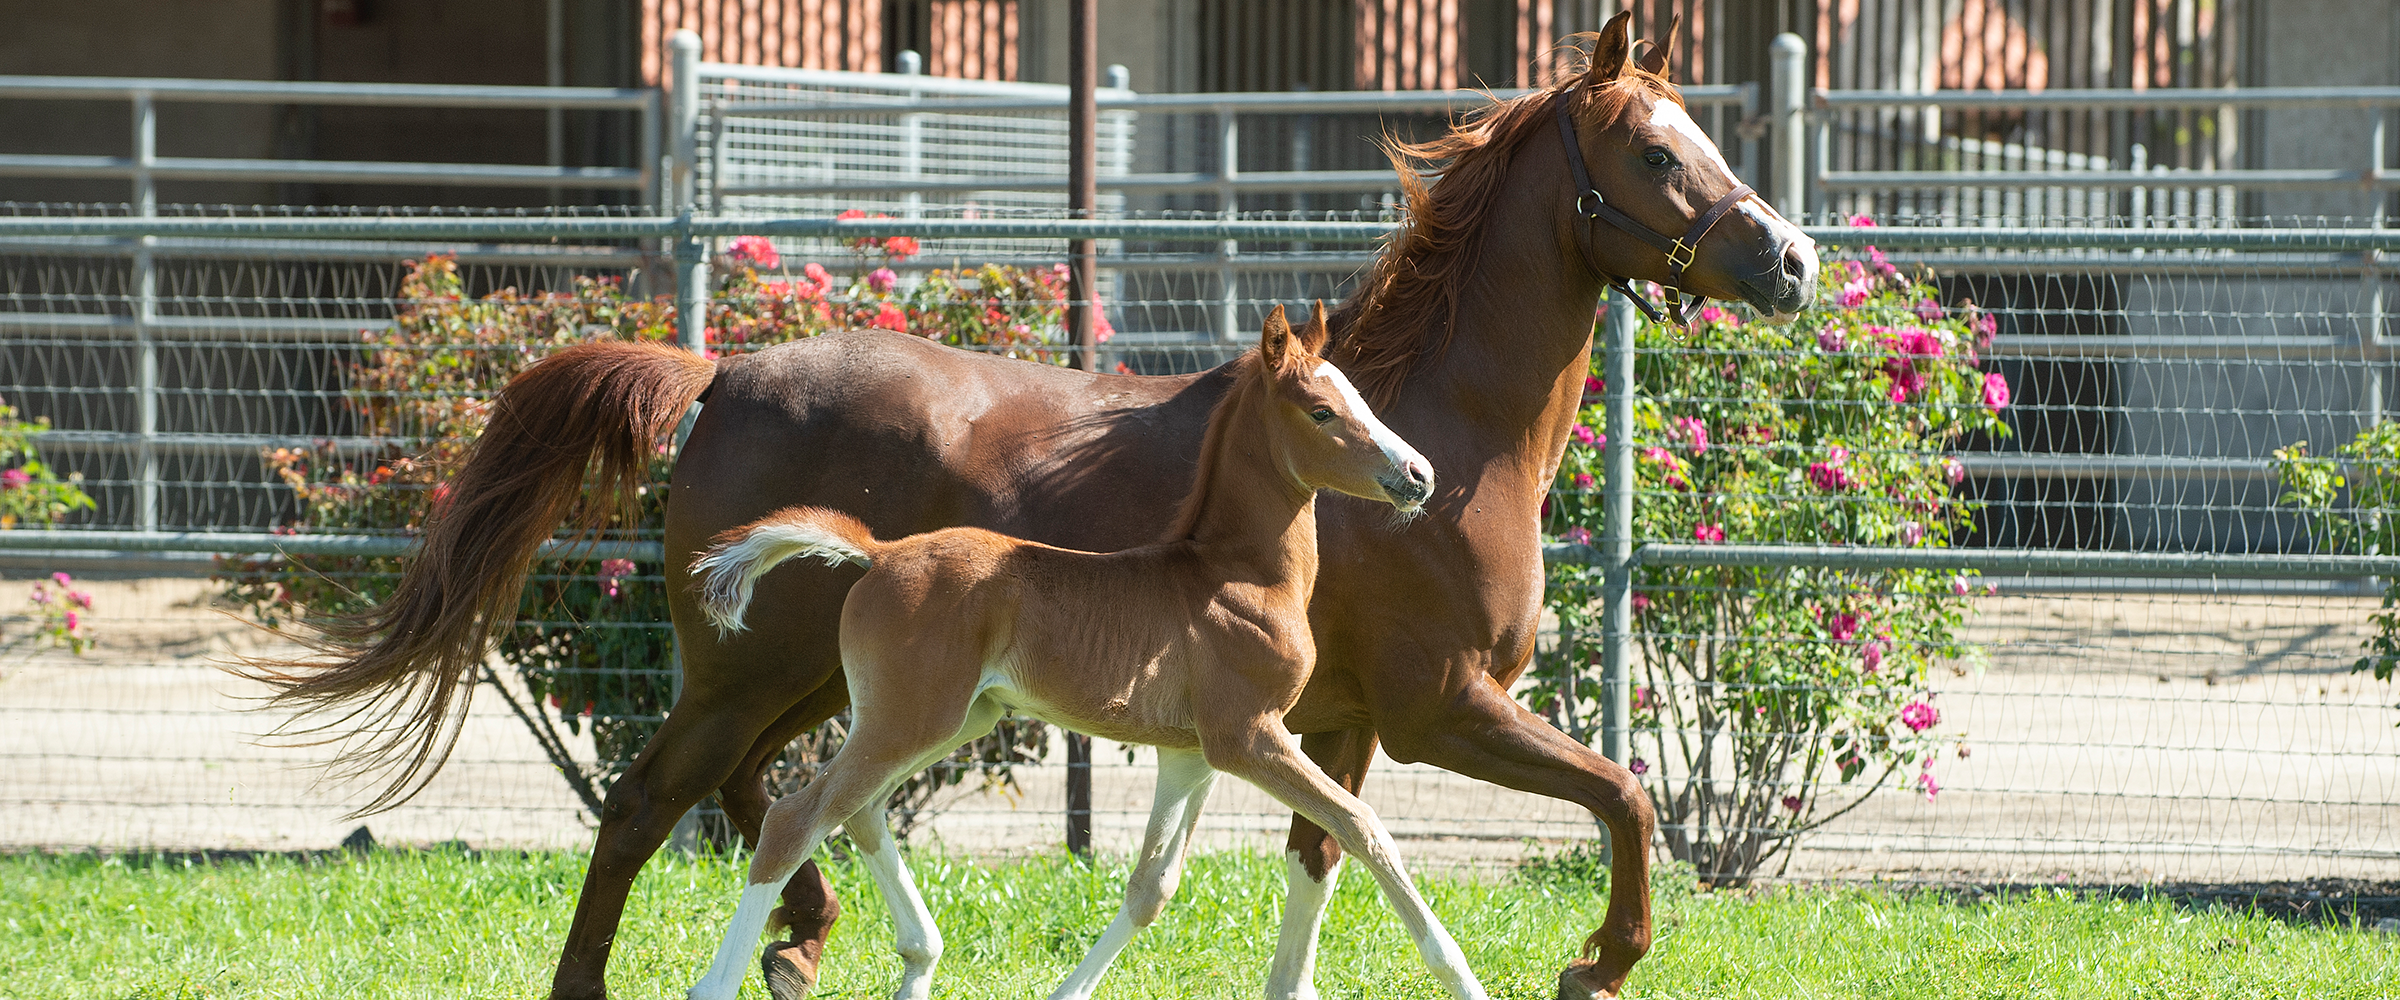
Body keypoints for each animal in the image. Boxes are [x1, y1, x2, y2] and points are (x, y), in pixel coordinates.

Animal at [681, 303, 1468, 1000]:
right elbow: (1363, 826)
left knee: (861, 811)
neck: (1234, 576)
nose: (1420, 475)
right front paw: (1460, 975)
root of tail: (880, 552)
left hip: (954, 718)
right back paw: (716, 984)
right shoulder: (1250, 737)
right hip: (910, 719)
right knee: (797, 818)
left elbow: (1153, 886)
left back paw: (919, 963)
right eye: (1322, 411)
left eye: (1360, 397)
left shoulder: (1192, 754)